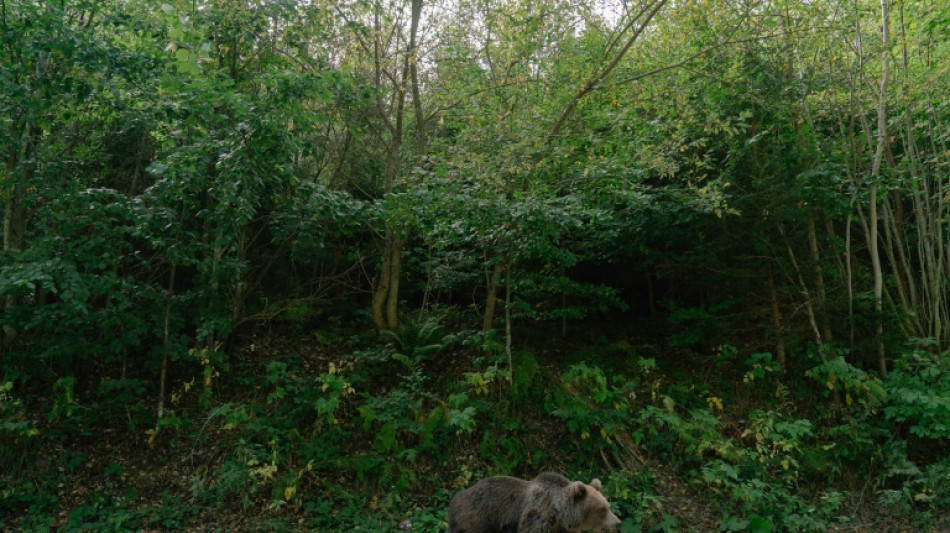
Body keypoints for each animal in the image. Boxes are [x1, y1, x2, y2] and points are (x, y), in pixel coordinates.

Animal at [448, 472, 624, 528]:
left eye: (608, 506)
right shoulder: (537, 517)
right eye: (602, 509)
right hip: (478, 519)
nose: (618, 523)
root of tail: (455, 499)